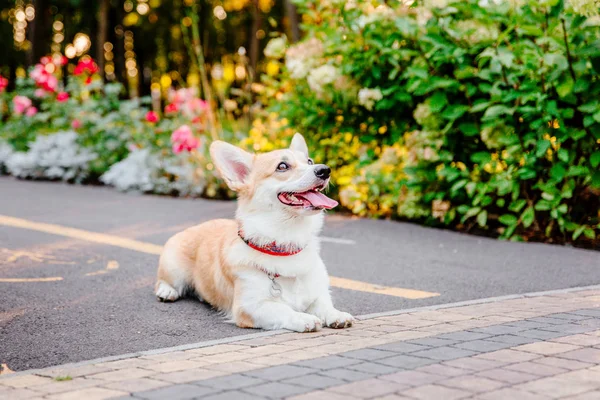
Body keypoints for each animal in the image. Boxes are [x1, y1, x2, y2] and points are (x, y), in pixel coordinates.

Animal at [154, 134, 356, 332]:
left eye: (309, 161)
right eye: (282, 166)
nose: (325, 170)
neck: (285, 241)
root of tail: (192, 227)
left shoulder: (317, 293)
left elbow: (324, 304)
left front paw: (336, 315)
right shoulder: (249, 307)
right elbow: (282, 308)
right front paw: (303, 318)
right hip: (174, 269)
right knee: (163, 281)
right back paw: (167, 291)